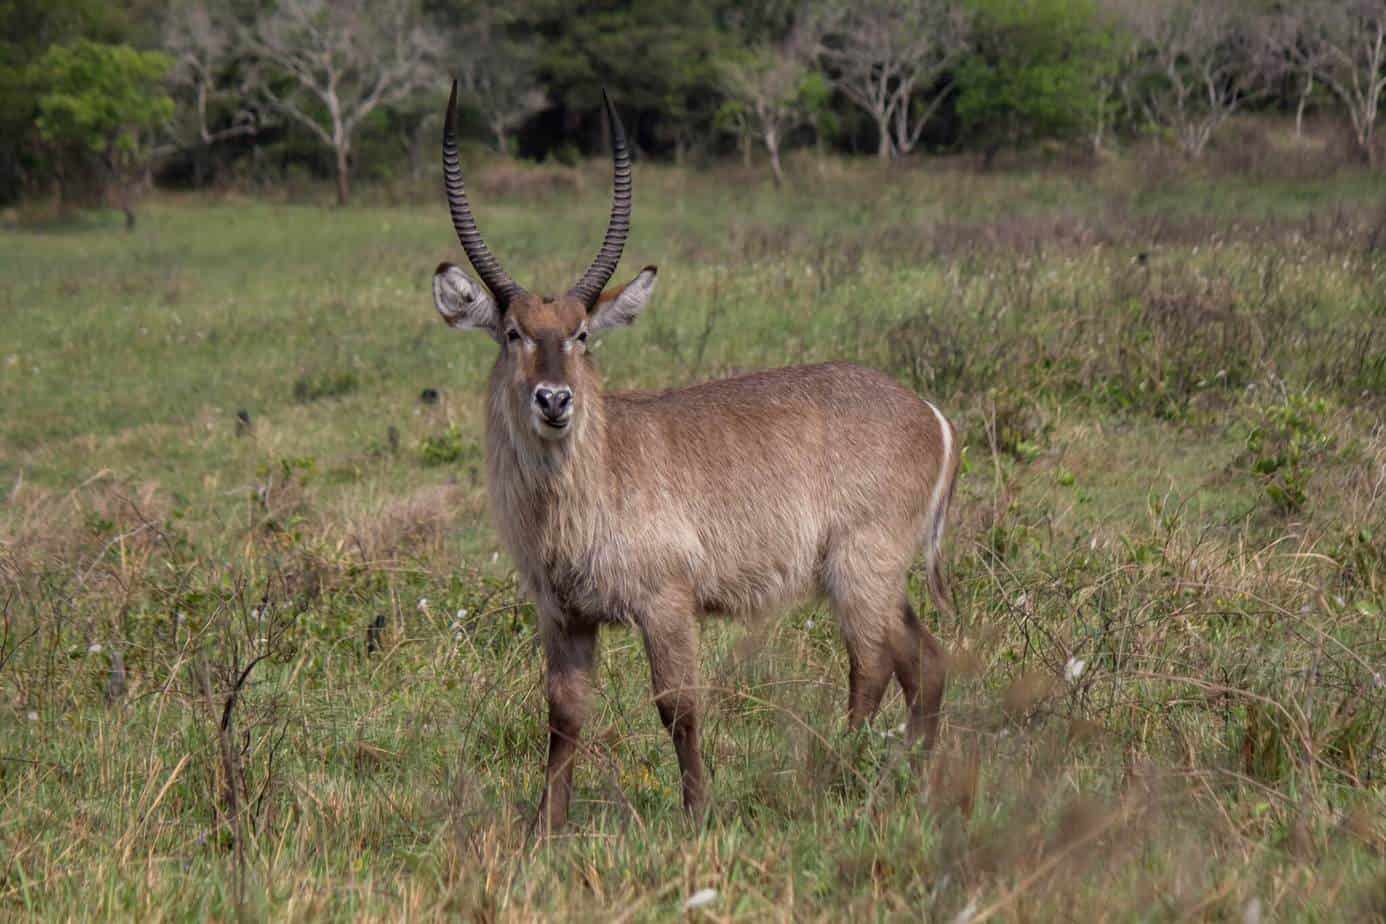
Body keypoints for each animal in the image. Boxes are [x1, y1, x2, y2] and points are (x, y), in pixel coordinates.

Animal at [426, 81, 959, 831]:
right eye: (511, 333)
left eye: (582, 333)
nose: (554, 401)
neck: (590, 482)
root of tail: (928, 411)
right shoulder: (562, 614)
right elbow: (563, 714)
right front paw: (545, 827)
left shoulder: (666, 602)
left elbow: (678, 707)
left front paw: (698, 814)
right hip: (878, 573)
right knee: (924, 659)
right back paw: (911, 777)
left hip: (861, 563)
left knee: (873, 664)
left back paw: (829, 781)